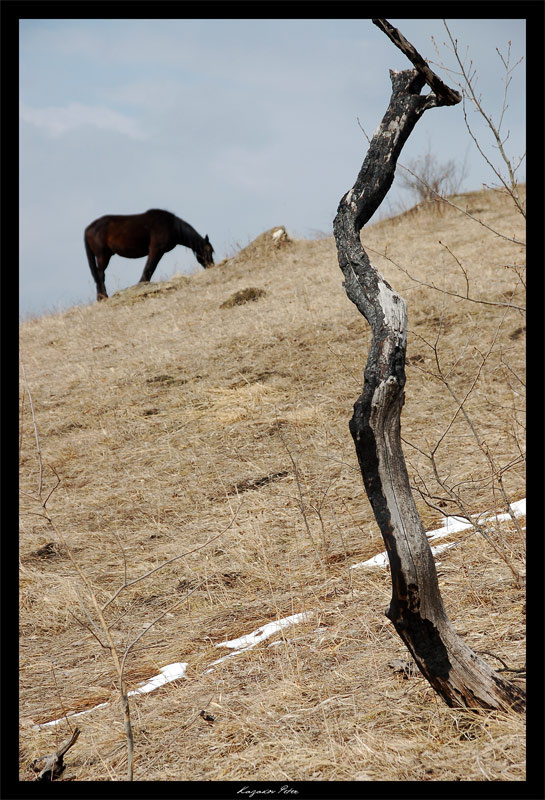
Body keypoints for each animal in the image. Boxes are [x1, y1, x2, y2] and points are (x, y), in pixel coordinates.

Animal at [84, 209, 214, 301]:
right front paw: (142, 284)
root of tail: (88, 229)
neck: (171, 226)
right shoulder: (156, 250)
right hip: (103, 256)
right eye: (208, 251)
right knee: (100, 275)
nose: (211, 266)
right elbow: (149, 267)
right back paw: (103, 297)